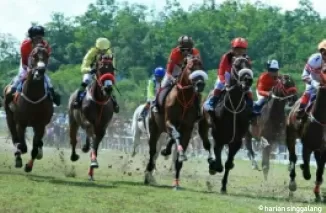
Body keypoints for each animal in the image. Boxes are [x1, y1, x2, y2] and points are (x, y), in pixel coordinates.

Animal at [2, 44, 53, 172]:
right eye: (34, 55)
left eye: (46, 55)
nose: (40, 70)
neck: (33, 97)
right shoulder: (21, 123)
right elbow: (23, 146)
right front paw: (18, 155)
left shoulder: (40, 125)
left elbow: (34, 149)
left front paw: (29, 166)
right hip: (9, 117)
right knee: (15, 137)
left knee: (36, 143)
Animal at [144, 54, 208, 188]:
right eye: (190, 68)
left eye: (202, 67)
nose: (200, 84)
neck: (184, 99)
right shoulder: (169, 122)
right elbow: (175, 135)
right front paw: (180, 153)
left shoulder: (188, 128)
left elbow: (179, 149)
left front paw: (176, 182)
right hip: (154, 129)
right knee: (152, 151)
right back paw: (148, 173)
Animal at [199, 55, 255, 193]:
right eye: (236, 65)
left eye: (249, 65)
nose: (248, 80)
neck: (234, 107)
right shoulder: (218, 136)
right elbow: (218, 164)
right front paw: (213, 166)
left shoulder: (237, 140)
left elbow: (228, 164)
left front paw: (223, 186)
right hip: (203, 125)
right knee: (207, 145)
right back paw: (210, 161)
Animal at [286, 65, 326, 202]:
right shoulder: (307, 145)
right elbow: (307, 173)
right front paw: (303, 167)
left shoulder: (324, 149)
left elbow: (320, 170)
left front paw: (317, 193)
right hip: (290, 136)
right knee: (293, 157)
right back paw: (292, 182)